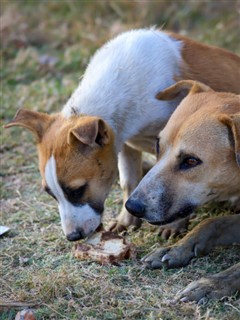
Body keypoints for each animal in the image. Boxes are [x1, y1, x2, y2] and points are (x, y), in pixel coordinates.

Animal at [5, 28, 240, 241]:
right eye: (50, 193)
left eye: (78, 190)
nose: (73, 237)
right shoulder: (125, 144)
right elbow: (129, 182)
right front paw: (126, 221)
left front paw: (174, 224)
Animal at [125, 80, 240, 302]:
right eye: (158, 145)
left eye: (191, 161)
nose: (132, 207)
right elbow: (212, 222)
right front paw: (177, 248)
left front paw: (212, 284)